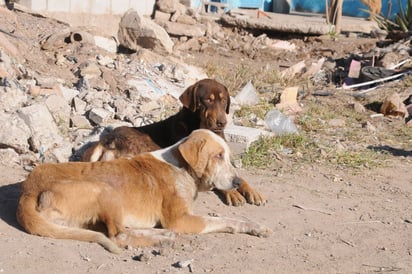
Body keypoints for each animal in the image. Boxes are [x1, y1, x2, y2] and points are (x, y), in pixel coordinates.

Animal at [16, 130, 272, 254]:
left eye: (227, 156)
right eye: (218, 156)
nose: (238, 182)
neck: (182, 167)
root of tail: (28, 190)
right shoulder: (181, 220)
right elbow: (225, 220)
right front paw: (252, 226)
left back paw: (161, 235)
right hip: (106, 190)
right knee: (118, 236)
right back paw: (161, 238)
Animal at [82, 78, 266, 207]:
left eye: (223, 101)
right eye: (208, 100)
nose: (222, 122)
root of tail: (106, 141)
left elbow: (238, 176)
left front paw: (251, 191)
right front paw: (233, 193)